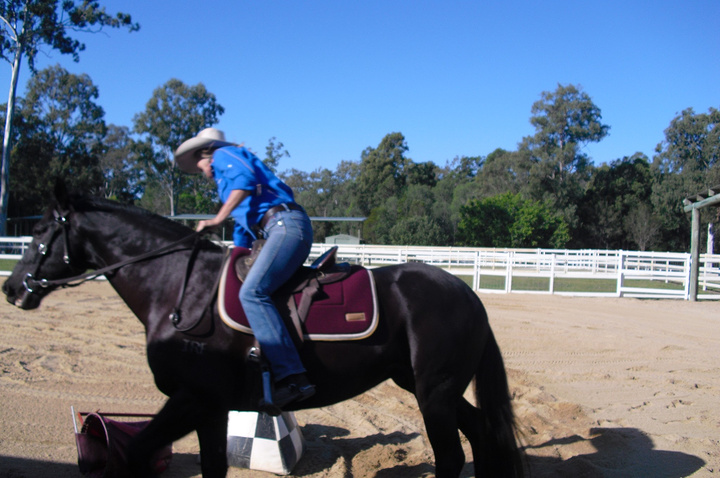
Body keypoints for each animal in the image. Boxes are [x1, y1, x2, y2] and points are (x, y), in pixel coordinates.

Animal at [2, 184, 524, 478]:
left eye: (44, 231)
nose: (12, 287)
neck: (178, 289)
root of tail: (467, 294)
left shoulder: (189, 399)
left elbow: (134, 455)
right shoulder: (209, 406)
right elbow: (212, 467)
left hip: (434, 393)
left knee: (453, 456)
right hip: (428, 387)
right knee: (482, 433)